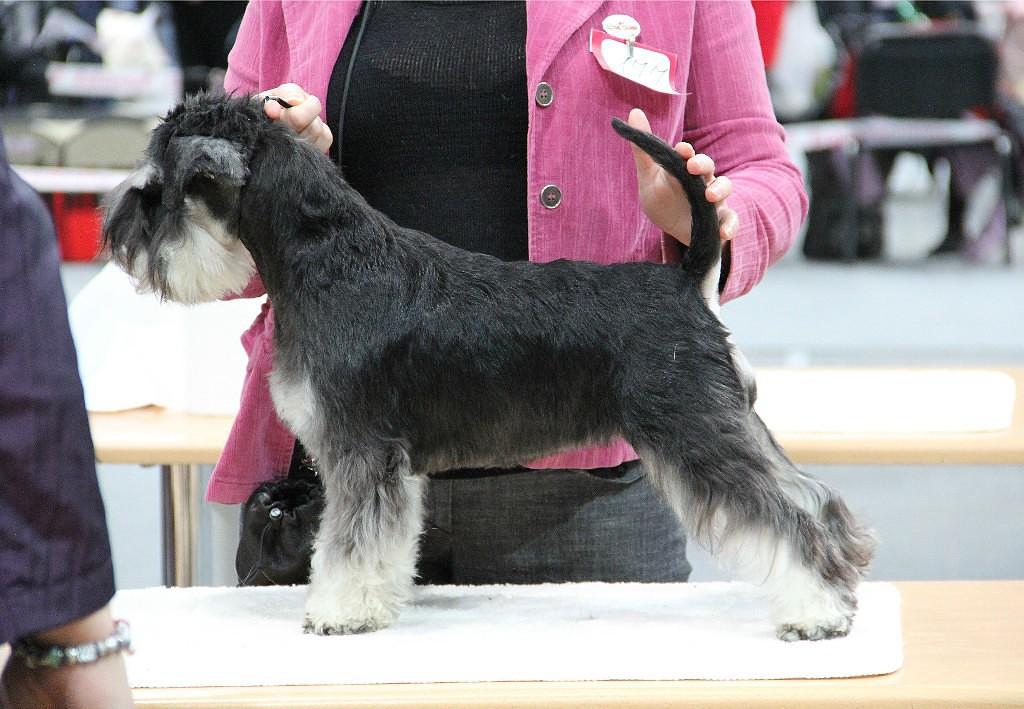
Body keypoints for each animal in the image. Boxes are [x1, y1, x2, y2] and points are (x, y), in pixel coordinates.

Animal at [103, 93, 874, 640]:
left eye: (159, 183)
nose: (116, 234)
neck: (327, 255)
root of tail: (687, 280)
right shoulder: (385, 463)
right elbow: (383, 542)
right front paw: (376, 601)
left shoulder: (360, 450)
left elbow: (349, 541)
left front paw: (340, 611)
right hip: (720, 422)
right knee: (814, 498)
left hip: (697, 430)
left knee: (789, 510)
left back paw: (816, 611)